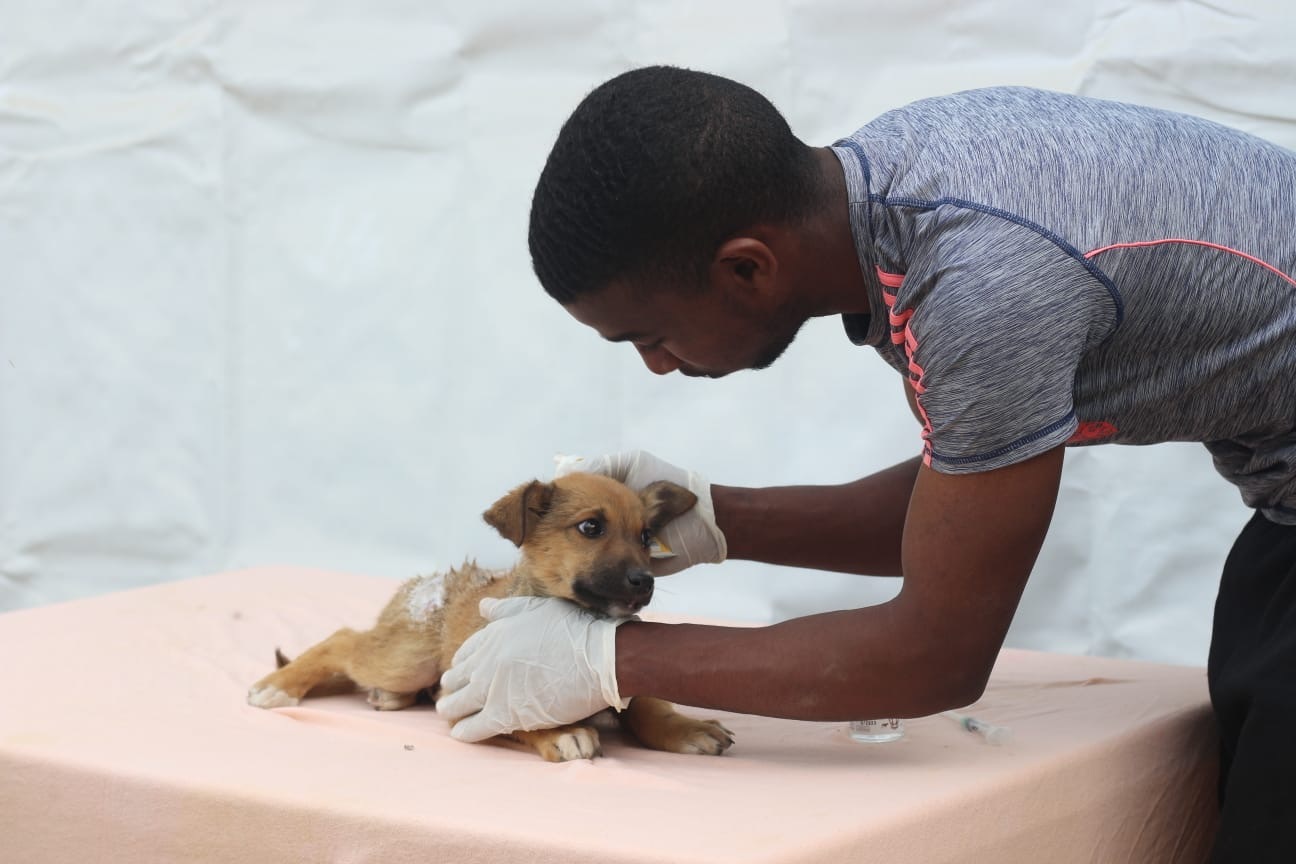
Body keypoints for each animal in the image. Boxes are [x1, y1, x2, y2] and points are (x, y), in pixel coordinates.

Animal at [247, 474, 736, 761]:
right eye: (590, 527)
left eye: (646, 536)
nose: (644, 582)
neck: (579, 621)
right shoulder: (480, 700)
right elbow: (516, 716)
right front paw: (558, 731)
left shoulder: (619, 671)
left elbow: (650, 706)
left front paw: (684, 727)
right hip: (407, 658)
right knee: (345, 639)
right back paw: (279, 685)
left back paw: (388, 697)